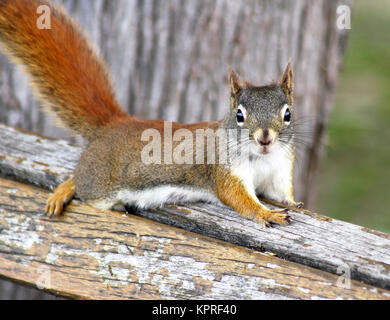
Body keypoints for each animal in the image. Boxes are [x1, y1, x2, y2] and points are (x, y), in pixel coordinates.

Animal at [0, 0, 302, 226]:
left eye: (287, 114)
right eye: (239, 116)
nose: (265, 138)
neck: (263, 158)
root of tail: (114, 124)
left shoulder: (280, 168)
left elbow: (280, 193)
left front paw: (292, 203)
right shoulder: (225, 170)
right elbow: (238, 199)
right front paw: (266, 213)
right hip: (100, 183)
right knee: (81, 182)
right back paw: (63, 191)